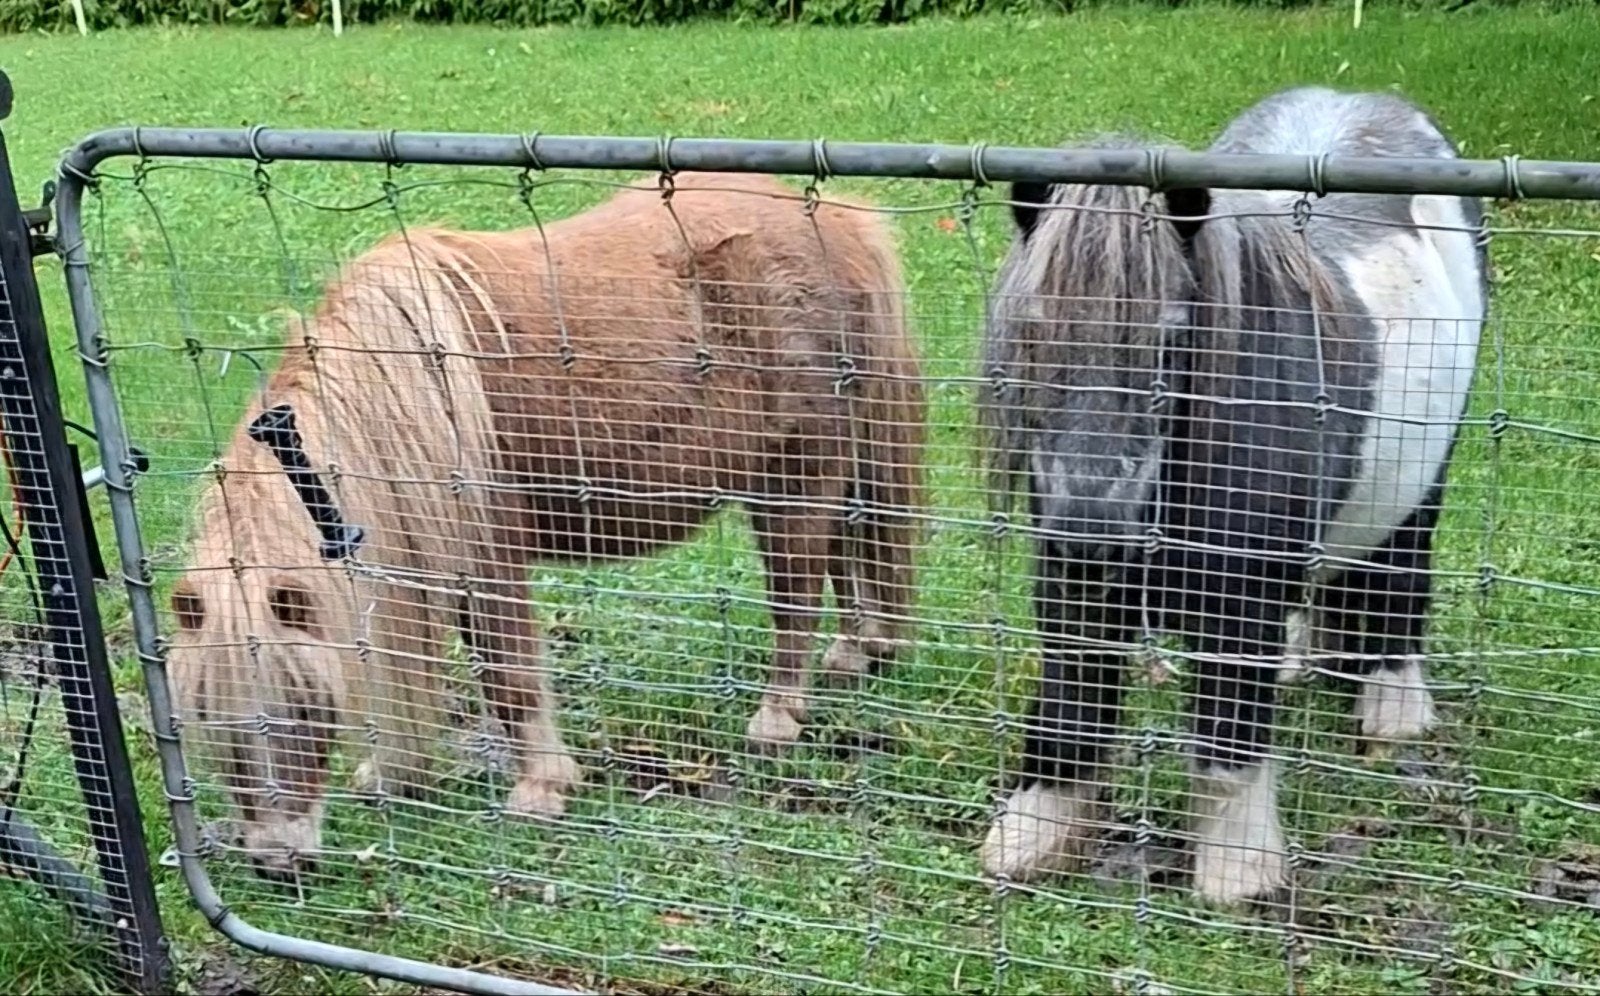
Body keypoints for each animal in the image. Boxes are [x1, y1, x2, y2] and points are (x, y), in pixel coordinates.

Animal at [165, 172, 927, 877]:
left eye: (303, 708)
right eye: (208, 715)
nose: (278, 861)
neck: (400, 398)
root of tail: (843, 221)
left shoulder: (488, 560)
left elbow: (507, 672)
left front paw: (541, 788)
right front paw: (396, 774)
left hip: (797, 476)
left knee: (797, 593)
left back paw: (777, 718)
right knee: (849, 551)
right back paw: (858, 652)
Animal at [976, 86, 1488, 904]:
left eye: (1170, 341)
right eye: (1031, 333)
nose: (1091, 532)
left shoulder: (1235, 602)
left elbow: (1228, 740)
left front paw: (1237, 872)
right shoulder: (1073, 589)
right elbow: (1071, 707)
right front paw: (1034, 835)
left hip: (1425, 478)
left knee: (1400, 570)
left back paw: (1393, 705)